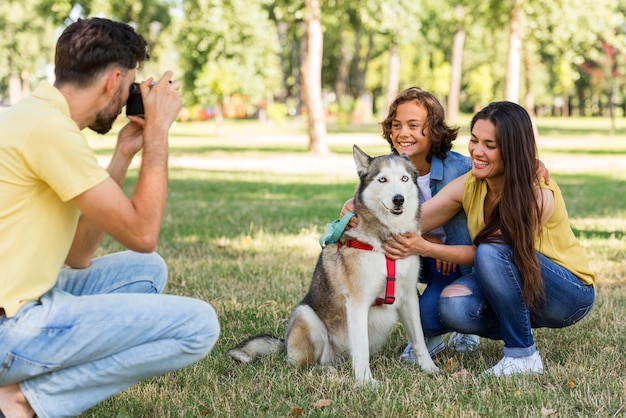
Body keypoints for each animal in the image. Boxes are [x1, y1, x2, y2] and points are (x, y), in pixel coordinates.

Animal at [227, 145, 436, 386]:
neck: (385, 242)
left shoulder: (408, 297)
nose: (398, 199)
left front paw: (430, 369)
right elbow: (361, 349)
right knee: (304, 365)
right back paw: (326, 371)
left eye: (404, 178)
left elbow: (419, 339)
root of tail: (284, 344)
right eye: (382, 179)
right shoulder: (357, 302)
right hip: (306, 316)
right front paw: (365, 382)